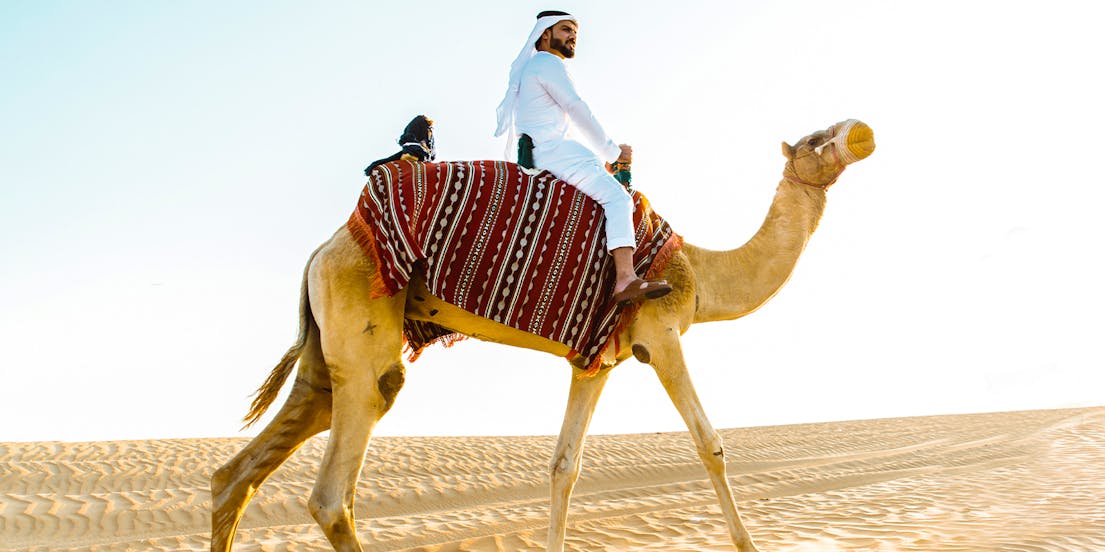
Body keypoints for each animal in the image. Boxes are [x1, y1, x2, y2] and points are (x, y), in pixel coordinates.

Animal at [210, 119, 875, 551]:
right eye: (814, 140)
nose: (858, 131)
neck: (698, 273)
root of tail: (324, 248)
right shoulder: (661, 334)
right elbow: (711, 445)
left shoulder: (596, 361)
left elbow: (564, 466)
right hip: (363, 313)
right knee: (334, 492)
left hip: (328, 345)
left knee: (240, 472)